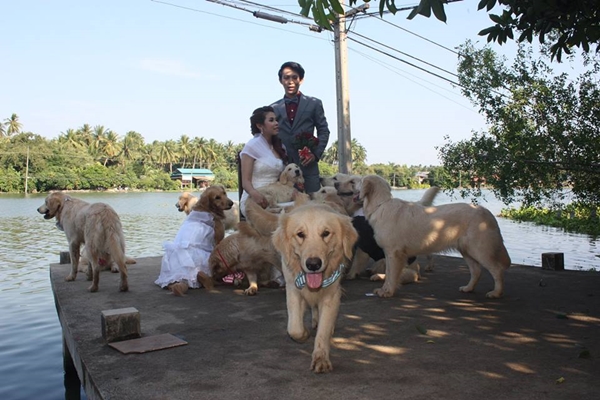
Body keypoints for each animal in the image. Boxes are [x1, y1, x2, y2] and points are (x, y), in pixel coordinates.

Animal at [274, 205, 360, 374]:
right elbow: (295, 328)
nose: (313, 264)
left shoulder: (331, 296)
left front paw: (321, 358)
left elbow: (323, 331)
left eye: (326, 233)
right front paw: (304, 334)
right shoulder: (293, 290)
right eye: (300, 234)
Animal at [356, 173, 510, 298]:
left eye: (359, 181)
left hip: (480, 250)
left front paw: (387, 292)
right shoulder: (390, 253)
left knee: (497, 270)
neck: (380, 205)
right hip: (466, 250)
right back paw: (468, 288)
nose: (353, 184)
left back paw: (496, 293)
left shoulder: (394, 253)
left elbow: (391, 275)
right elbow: (388, 273)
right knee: (476, 271)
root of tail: (487, 213)